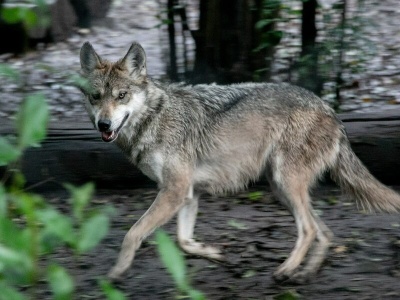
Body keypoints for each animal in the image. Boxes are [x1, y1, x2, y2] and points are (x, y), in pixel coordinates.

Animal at [78, 41, 400, 282]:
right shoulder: (187, 194)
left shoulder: (175, 190)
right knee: (325, 231)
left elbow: (132, 234)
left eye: (122, 95)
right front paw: (213, 253)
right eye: (96, 97)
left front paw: (116, 273)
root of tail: (330, 110)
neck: (156, 118)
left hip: (286, 184)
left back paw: (285, 270)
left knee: (309, 230)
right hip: (282, 188)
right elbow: (183, 241)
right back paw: (303, 274)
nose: (104, 125)